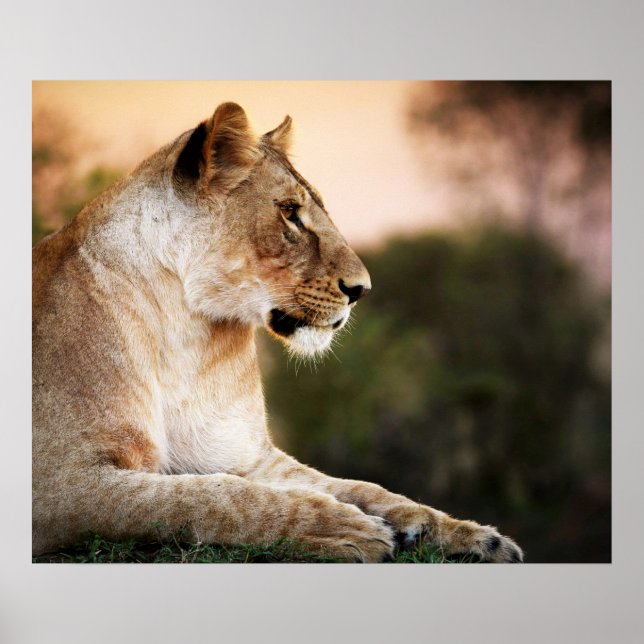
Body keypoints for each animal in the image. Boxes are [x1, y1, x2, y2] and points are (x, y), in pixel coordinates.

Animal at [32, 102, 523, 562]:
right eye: (289, 212)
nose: (361, 290)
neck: (187, 332)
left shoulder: (244, 455)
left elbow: (358, 486)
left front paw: (468, 535)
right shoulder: (61, 485)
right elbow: (212, 499)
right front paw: (346, 528)